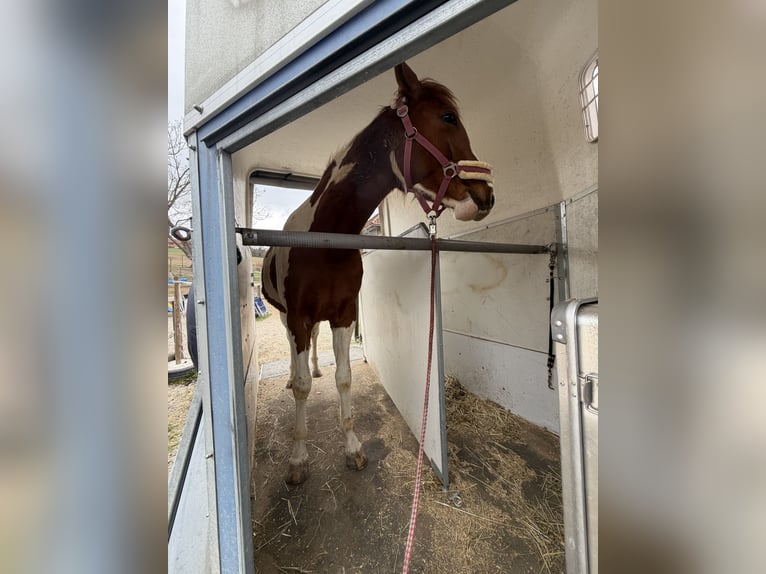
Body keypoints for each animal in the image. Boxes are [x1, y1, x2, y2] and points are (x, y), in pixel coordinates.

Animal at [262, 62, 495, 485]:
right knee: (292, 351)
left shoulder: (342, 314)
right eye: (448, 117)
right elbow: (302, 388)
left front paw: (353, 449)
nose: (486, 194)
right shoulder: (300, 315)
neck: (325, 237)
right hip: (287, 316)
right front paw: (298, 458)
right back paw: (291, 373)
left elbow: (343, 378)